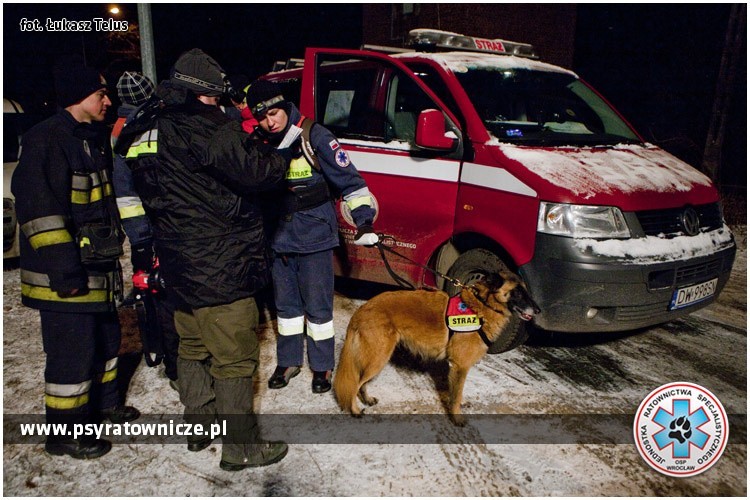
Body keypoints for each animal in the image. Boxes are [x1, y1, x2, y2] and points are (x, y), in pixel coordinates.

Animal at [334, 272, 540, 424]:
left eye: (526, 291)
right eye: (517, 292)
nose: (538, 311)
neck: (482, 305)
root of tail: (362, 310)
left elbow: (457, 392)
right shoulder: (460, 366)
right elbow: (456, 395)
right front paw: (457, 418)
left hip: (376, 359)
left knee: (361, 383)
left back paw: (366, 399)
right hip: (378, 358)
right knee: (355, 384)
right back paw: (355, 409)